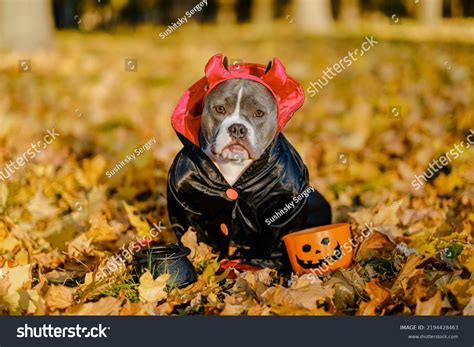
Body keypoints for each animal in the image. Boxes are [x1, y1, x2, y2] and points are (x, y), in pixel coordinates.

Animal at [168, 53, 332, 270]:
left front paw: (258, 264)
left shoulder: (286, 208)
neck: (234, 165)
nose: (238, 128)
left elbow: (275, 240)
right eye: (220, 109)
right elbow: (193, 235)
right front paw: (202, 256)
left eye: (259, 113)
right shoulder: (183, 202)